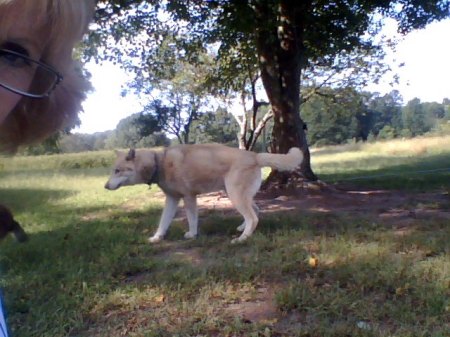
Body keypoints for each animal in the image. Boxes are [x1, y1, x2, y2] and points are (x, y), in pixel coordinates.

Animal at [104, 143, 302, 243]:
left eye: (117, 171)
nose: (105, 186)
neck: (158, 163)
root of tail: (255, 155)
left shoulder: (189, 197)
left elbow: (192, 220)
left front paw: (192, 234)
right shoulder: (172, 199)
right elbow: (163, 222)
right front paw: (156, 237)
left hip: (235, 195)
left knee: (253, 217)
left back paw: (242, 238)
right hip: (234, 194)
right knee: (256, 211)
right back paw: (242, 228)